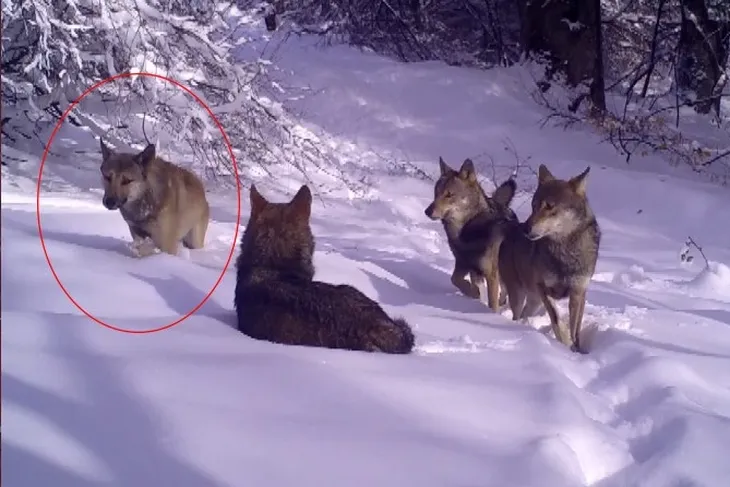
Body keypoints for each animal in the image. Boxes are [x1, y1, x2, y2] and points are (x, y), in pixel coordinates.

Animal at [420, 158, 516, 314]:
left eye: (449, 194)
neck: (468, 231)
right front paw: (473, 293)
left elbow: (492, 303)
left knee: (506, 291)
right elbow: (454, 279)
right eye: (436, 192)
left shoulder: (491, 275)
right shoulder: (463, 264)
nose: (427, 211)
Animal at [498, 165, 600, 354]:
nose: (526, 229)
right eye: (533, 206)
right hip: (520, 294)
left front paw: (576, 349)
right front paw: (564, 343)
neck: (565, 252)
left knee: (524, 314)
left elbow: (576, 329)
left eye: (549, 206)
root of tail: (510, 231)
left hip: (534, 301)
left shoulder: (579, 292)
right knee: (516, 314)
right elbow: (557, 319)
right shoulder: (543, 288)